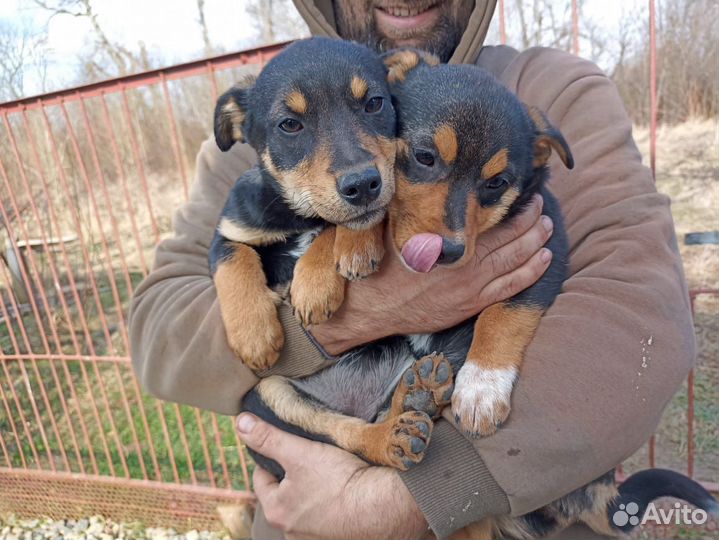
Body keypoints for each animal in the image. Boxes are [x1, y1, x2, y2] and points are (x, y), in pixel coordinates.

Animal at [208, 38, 400, 374]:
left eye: (374, 103)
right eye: (289, 124)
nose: (363, 185)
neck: (298, 217)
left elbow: (330, 228)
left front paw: (315, 285)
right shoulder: (229, 231)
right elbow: (234, 261)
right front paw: (253, 336)